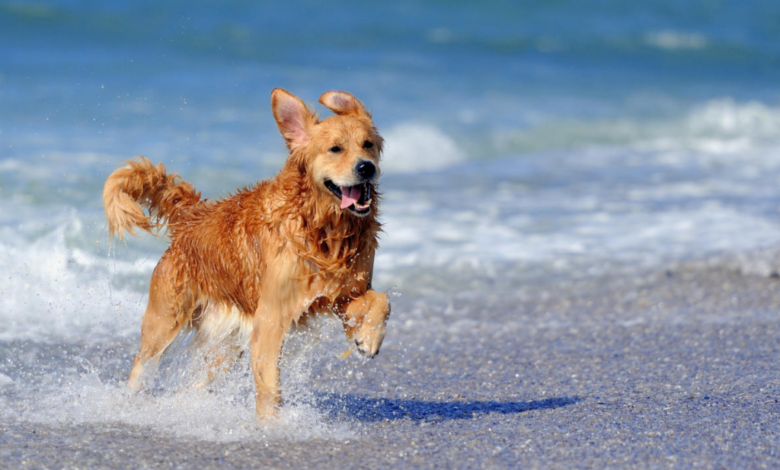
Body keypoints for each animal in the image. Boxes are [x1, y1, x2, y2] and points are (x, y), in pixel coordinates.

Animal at [105, 89, 390, 418]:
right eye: (335, 149)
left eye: (368, 144)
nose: (366, 167)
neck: (322, 227)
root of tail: (192, 217)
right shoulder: (271, 316)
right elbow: (269, 386)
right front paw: (271, 424)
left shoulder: (342, 294)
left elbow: (381, 300)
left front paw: (368, 339)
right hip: (165, 320)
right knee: (142, 364)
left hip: (226, 343)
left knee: (198, 382)